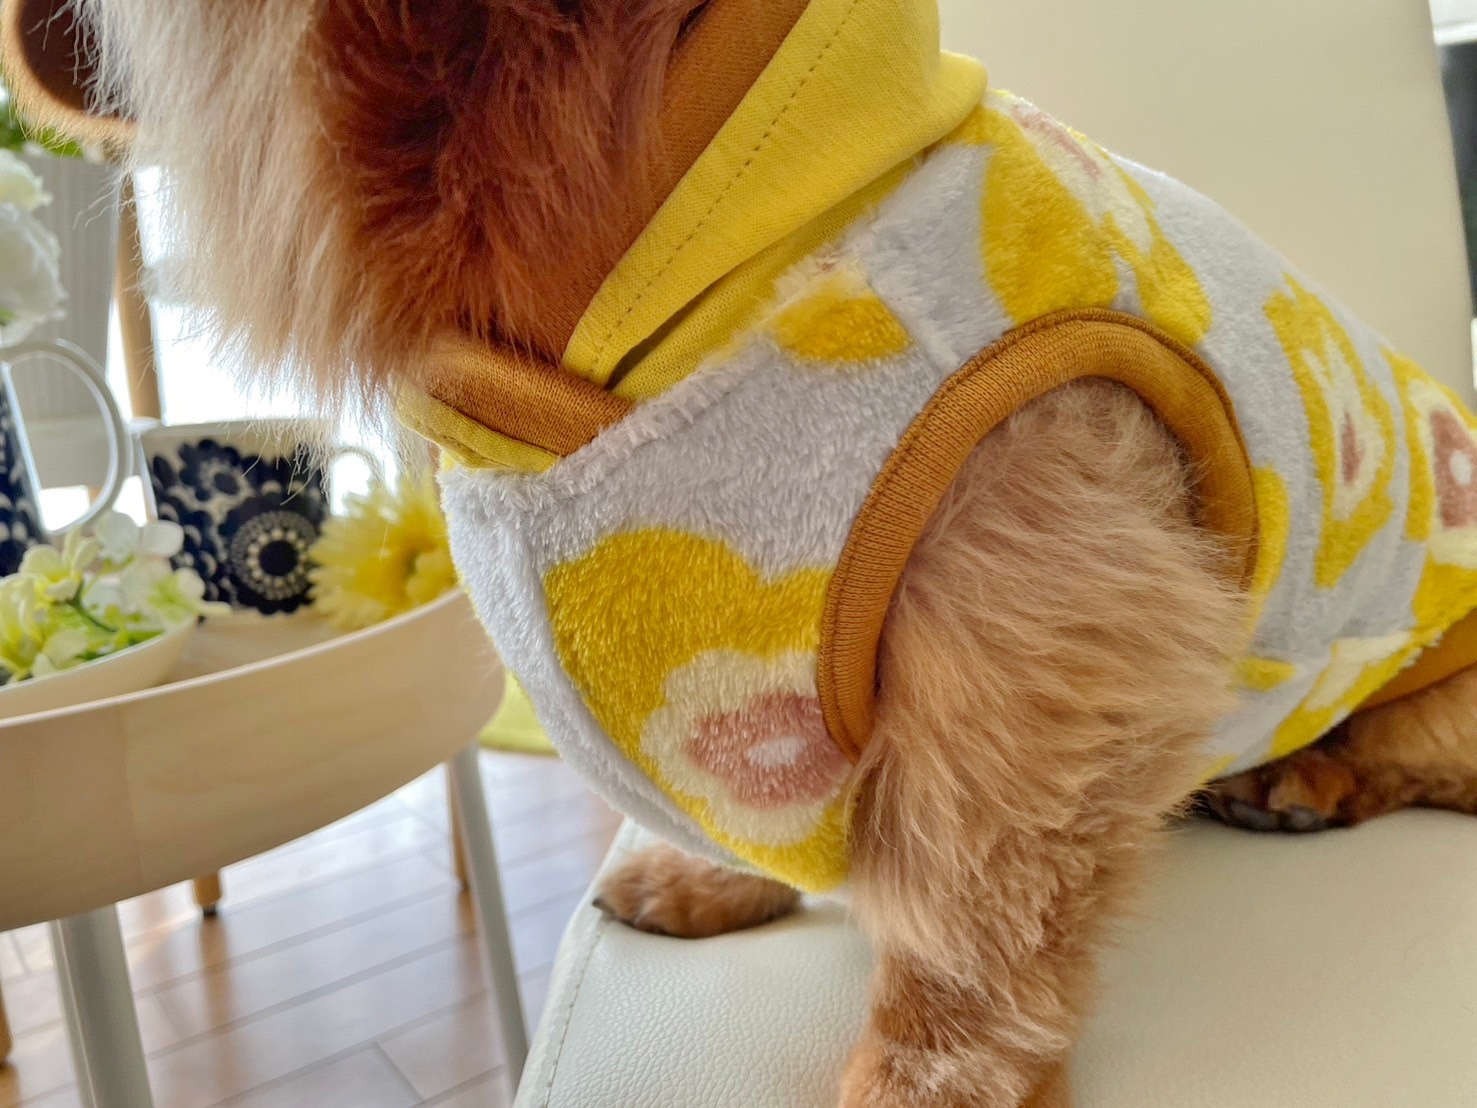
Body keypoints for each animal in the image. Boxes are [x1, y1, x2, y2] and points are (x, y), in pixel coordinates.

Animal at [10, 1, 1477, 1104]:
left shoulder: (1038, 645)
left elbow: (972, 920)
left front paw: (924, 1083)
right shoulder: (729, 682)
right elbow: (753, 786)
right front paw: (710, 880)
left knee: (1415, 758)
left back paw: (1306, 777)